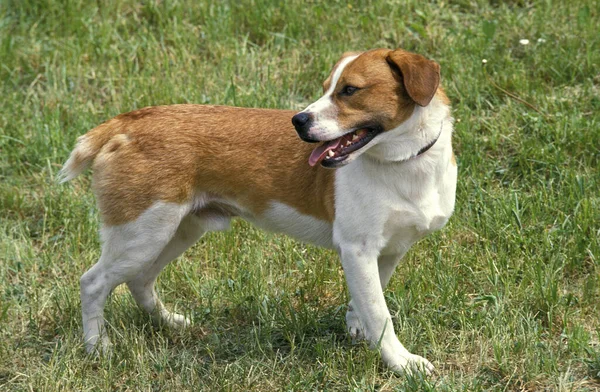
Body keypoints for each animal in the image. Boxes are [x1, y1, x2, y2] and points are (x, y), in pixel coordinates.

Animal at [59, 48, 454, 374]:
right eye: (327, 88)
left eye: (349, 90)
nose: (299, 120)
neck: (404, 164)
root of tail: (127, 122)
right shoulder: (358, 249)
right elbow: (380, 313)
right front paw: (402, 363)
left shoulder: (387, 252)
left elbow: (368, 303)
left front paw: (358, 331)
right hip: (141, 234)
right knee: (93, 283)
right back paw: (98, 348)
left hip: (175, 230)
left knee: (139, 280)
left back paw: (171, 323)